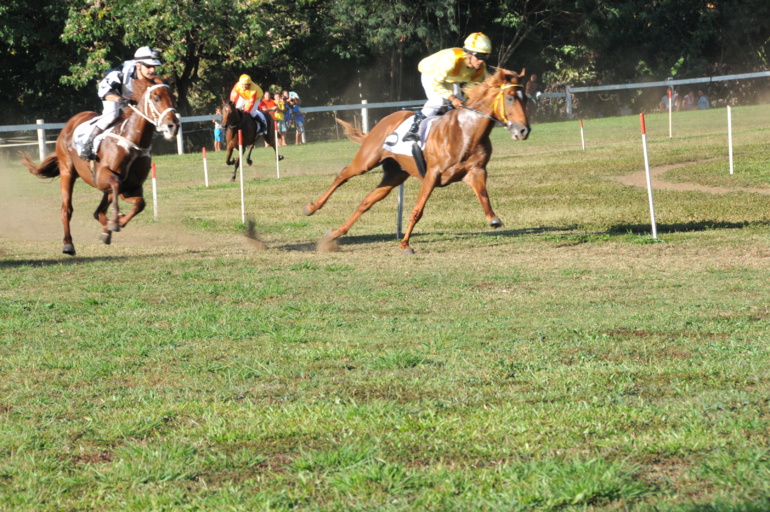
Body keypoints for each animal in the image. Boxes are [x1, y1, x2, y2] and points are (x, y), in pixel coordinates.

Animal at [21, 75, 178, 255]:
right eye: (156, 98)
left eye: (173, 98)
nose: (173, 126)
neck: (132, 142)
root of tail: (71, 122)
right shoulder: (103, 177)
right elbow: (116, 186)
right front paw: (115, 221)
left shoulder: (131, 187)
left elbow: (139, 204)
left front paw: (115, 222)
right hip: (67, 171)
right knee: (67, 209)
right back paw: (68, 244)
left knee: (98, 211)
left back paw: (106, 228)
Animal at [304, 66, 532, 254]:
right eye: (510, 98)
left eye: (526, 98)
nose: (523, 130)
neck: (466, 132)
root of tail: (385, 120)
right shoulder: (432, 174)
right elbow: (417, 211)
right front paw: (405, 244)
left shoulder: (476, 171)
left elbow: (484, 196)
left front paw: (493, 219)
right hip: (367, 161)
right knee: (343, 175)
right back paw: (312, 207)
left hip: (395, 174)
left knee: (367, 200)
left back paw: (335, 234)